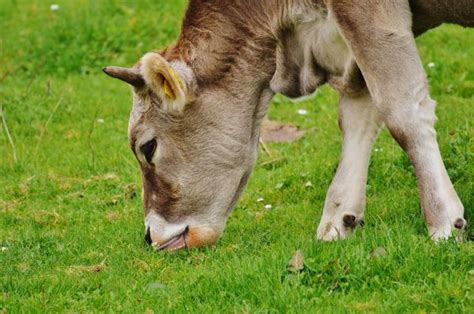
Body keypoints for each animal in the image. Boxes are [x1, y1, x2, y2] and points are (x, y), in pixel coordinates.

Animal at [102, 0, 472, 250]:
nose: (150, 235)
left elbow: (402, 114)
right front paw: (340, 217)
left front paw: (444, 221)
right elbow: (358, 115)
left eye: (148, 147)